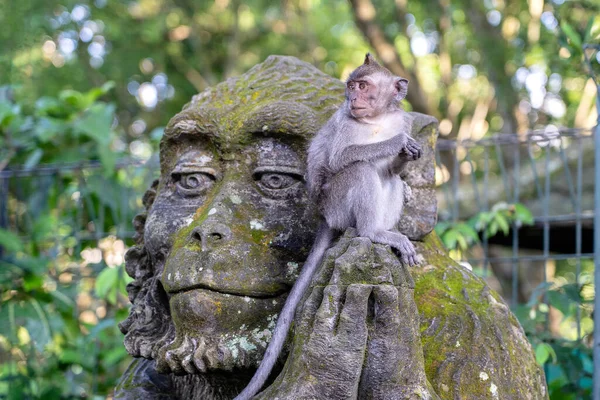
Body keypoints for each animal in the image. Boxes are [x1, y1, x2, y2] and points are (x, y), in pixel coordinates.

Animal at [234, 54, 422, 400]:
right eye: (352, 86)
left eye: (364, 86)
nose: (353, 98)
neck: (377, 119)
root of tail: (324, 216)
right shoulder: (346, 123)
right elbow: (341, 157)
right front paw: (398, 143)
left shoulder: (403, 119)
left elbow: (393, 169)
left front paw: (407, 155)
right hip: (336, 204)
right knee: (361, 170)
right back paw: (373, 232)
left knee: (391, 179)